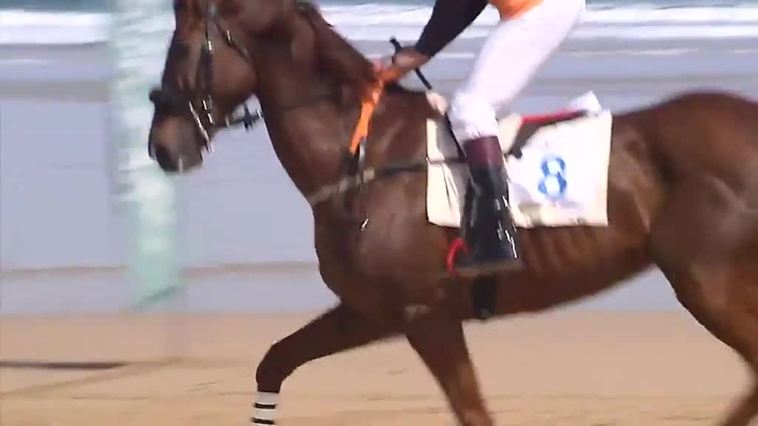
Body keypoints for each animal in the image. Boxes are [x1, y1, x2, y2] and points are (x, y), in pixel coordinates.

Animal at [150, 1, 758, 424]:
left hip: (706, 282)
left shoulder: (426, 316)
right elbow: (274, 362)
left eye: (182, 48)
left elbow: (473, 411)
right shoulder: (370, 311)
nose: (161, 146)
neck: (363, 156)